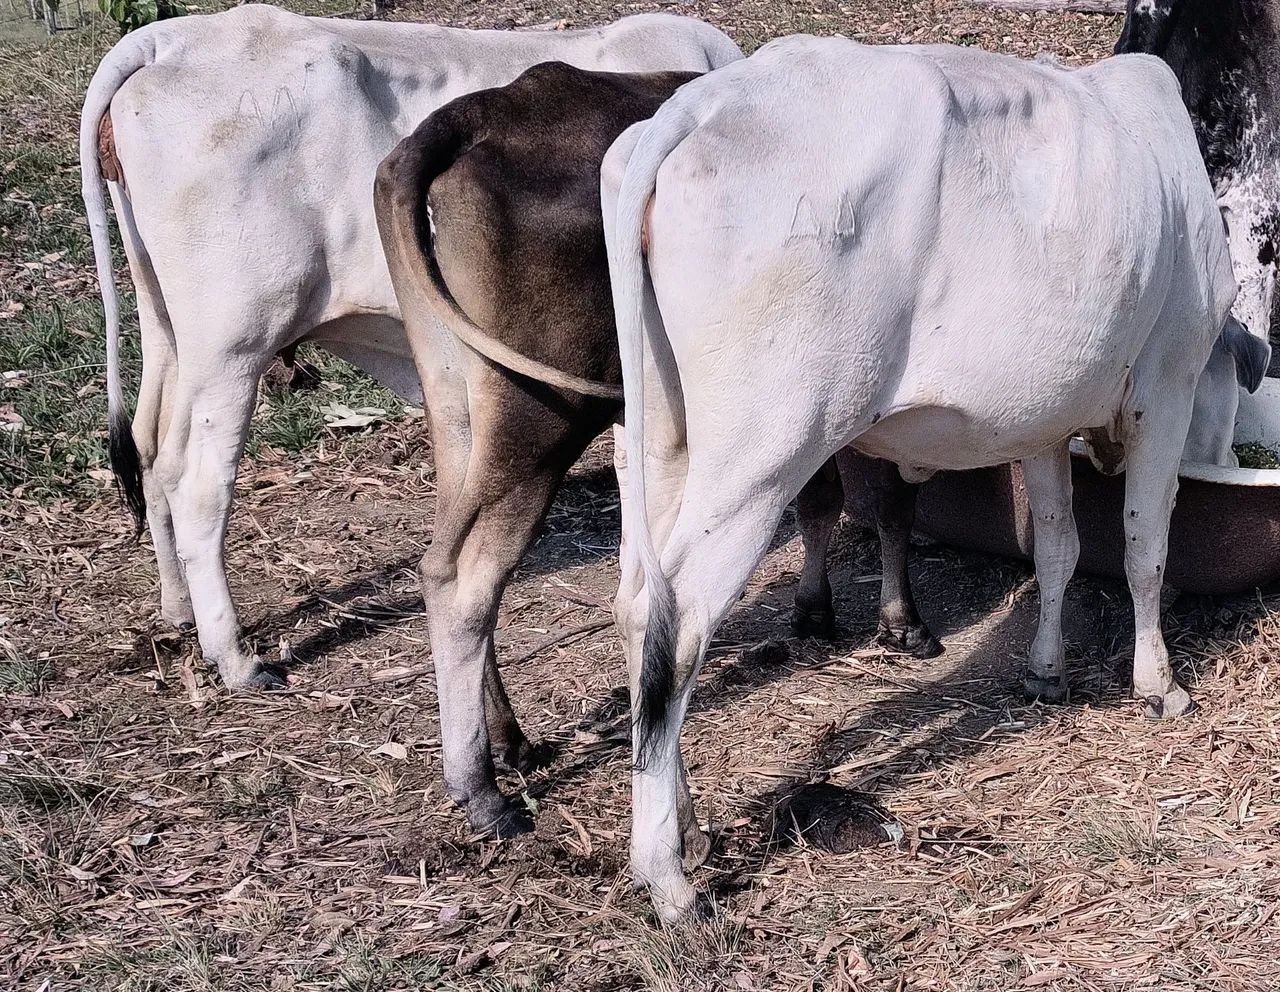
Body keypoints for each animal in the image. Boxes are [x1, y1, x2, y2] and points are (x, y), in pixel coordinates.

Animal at [79, 4, 741, 694]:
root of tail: (164, 40)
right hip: (233, 347)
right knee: (197, 484)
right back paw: (233, 656)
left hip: (164, 324)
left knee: (149, 447)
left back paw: (177, 606)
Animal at [603, 36, 1246, 920]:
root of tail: (699, 105)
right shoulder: (1165, 385)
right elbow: (1145, 548)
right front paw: (1159, 686)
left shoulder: (1041, 421)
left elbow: (1058, 549)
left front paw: (1046, 670)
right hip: (765, 447)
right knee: (680, 618)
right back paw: (667, 876)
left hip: (664, 438)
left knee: (641, 605)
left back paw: (692, 828)